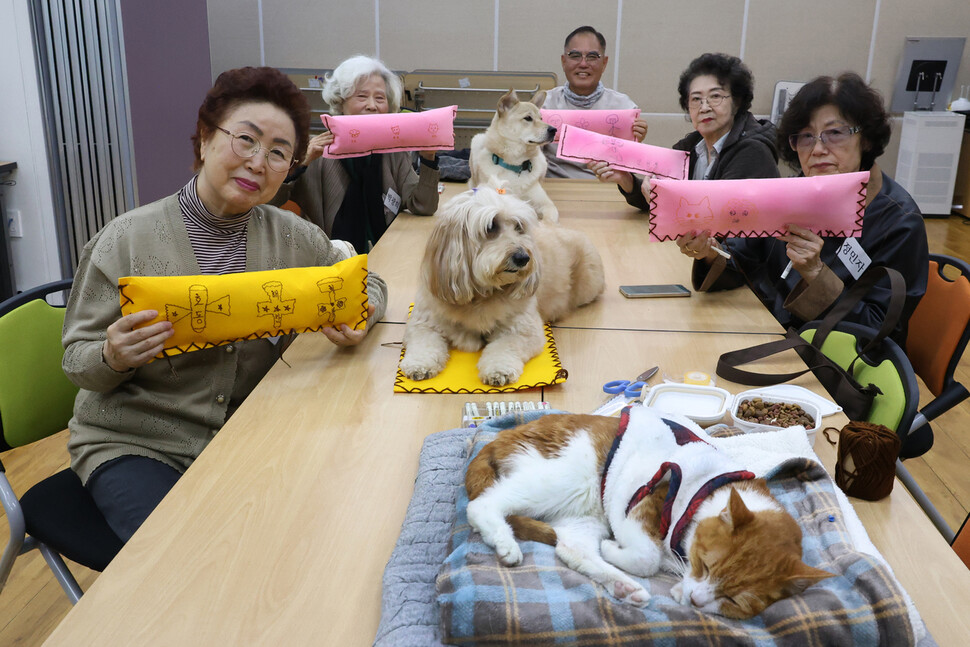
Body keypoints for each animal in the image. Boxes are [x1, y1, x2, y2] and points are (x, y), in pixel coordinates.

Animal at [398, 190, 600, 388]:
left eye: (519, 227)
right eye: (490, 226)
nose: (523, 257)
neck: (481, 295)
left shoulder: (524, 329)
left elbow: (504, 347)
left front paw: (498, 370)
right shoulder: (424, 321)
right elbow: (423, 343)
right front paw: (419, 364)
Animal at [466, 410, 828, 616]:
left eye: (735, 600)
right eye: (706, 566)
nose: (698, 601)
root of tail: (500, 436)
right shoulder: (641, 501)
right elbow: (647, 557)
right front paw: (620, 550)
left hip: (585, 511)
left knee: (571, 549)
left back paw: (624, 587)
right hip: (562, 479)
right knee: (481, 504)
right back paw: (506, 544)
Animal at [470, 89, 560, 223]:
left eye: (541, 118)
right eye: (528, 118)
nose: (554, 130)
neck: (515, 165)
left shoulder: (547, 204)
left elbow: (549, 219)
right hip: (477, 140)